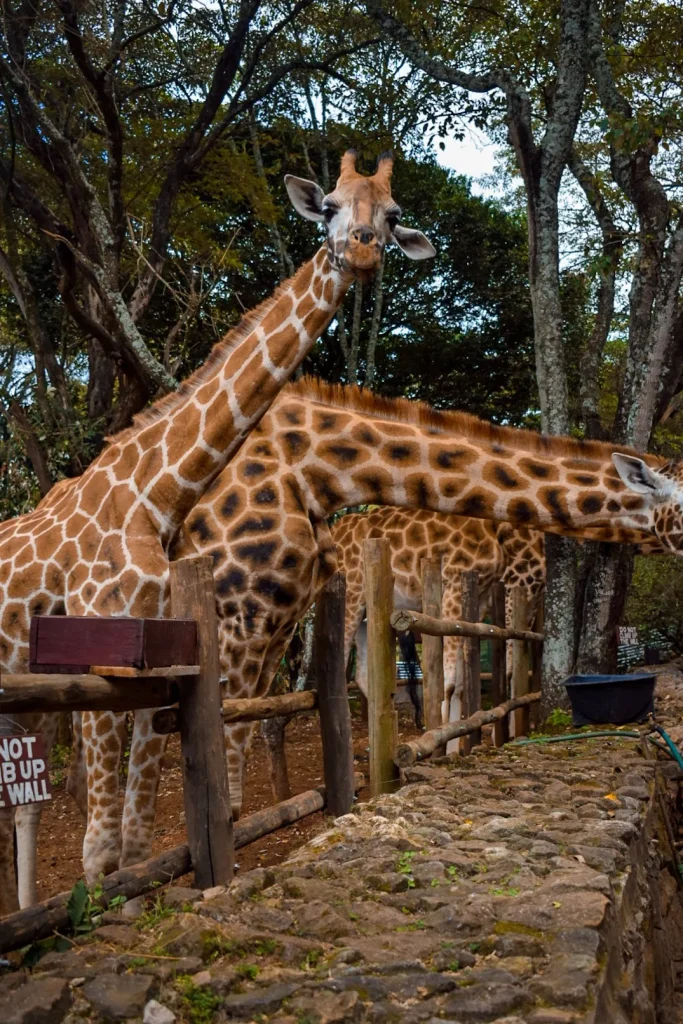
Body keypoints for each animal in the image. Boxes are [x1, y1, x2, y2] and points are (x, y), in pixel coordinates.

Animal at [0, 150, 435, 913]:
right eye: (327, 206)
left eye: (391, 213)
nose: (358, 250)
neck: (157, 495)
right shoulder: (95, 653)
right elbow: (98, 847)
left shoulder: (156, 666)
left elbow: (134, 840)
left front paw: (134, 908)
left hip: (24, 690)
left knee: (23, 801)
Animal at [168, 376, 682, 814]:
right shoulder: (474, 581)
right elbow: (463, 676)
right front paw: (453, 746)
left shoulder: (488, 594)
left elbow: (487, 670)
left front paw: (469, 737)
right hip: (347, 598)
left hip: (366, 613)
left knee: (362, 676)